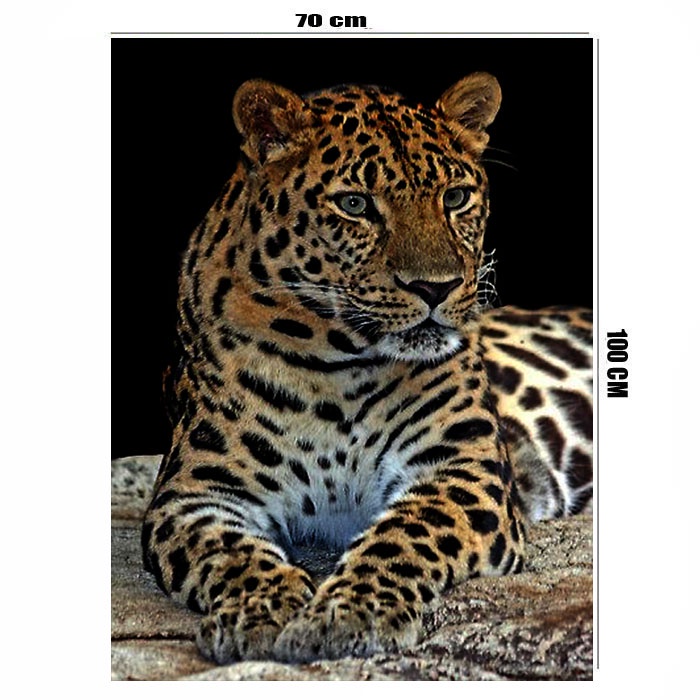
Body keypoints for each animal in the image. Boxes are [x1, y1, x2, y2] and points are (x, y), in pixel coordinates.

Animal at [141, 73, 593, 664]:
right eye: (355, 204)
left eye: (455, 197)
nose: (436, 288)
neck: (339, 367)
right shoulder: (197, 491)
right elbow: (227, 551)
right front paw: (262, 609)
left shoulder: (462, 471)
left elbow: (408, 533)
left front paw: (352, 611)